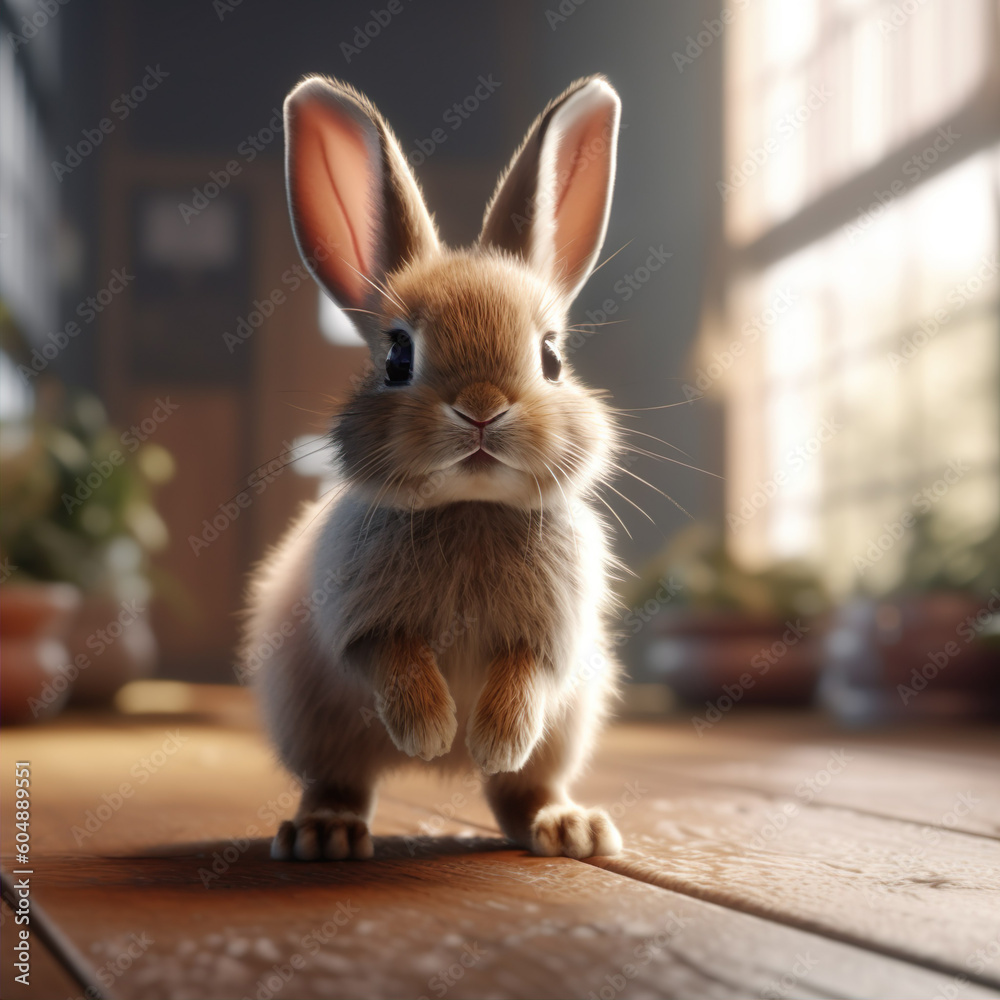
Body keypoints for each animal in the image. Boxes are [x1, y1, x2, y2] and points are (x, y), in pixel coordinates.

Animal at [243, 72, 626, 862]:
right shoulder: (359, 627)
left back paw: (568, 828)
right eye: (397, 356)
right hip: (315, 724)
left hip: (566, 731)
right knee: (342, 781)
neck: (470, 506)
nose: (481, 409)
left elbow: (526, 677)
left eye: (551, 357)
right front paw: (431, 733)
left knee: (521, 791)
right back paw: (325, 835)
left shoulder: (552, 638)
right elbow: (392, 661)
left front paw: (489, 740)